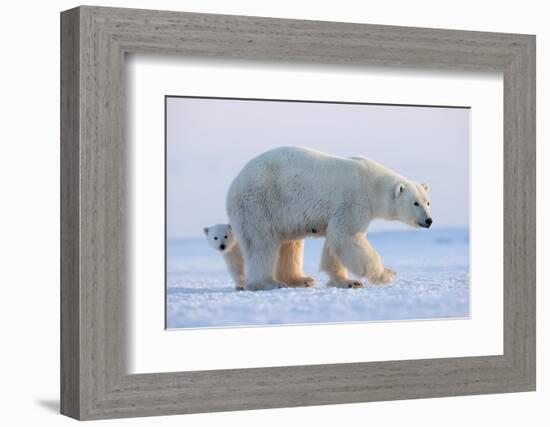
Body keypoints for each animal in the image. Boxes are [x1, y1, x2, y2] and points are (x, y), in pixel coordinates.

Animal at [226, 146, 434, 290]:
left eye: (428, 202)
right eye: (415, 203)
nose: (429, 221)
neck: (372, 184)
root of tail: (233, 185)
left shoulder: (338, 212)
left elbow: (334, 244)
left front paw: (347, 282)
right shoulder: (353, 201)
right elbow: (347, 237)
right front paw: (387, 274)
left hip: (281, 214)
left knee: (290, 244)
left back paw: (301, 279)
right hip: (259, 203)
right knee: (262, 243)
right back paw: (268, 283)